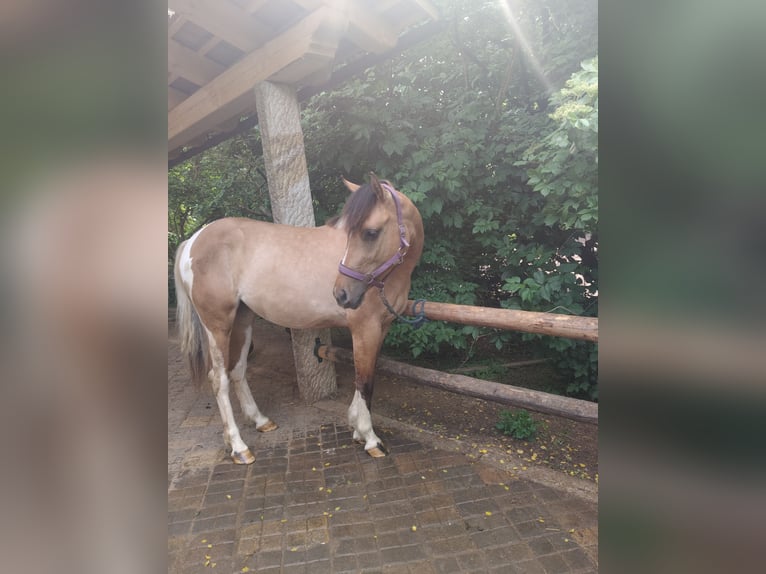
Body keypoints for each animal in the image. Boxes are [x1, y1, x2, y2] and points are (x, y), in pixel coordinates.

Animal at [173, 174, 423, 464]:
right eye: (356, 233)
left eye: (370, 233)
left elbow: (366, 377)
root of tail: (194, 240)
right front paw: (370, 438)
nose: (341, 294)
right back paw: (239, 447)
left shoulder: (380, 328)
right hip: (218, 326)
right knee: (219, 378)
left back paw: (260, 421)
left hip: (243, 320)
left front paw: (357, 429)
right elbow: (365, 381)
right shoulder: (365, 329)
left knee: (237, 370)